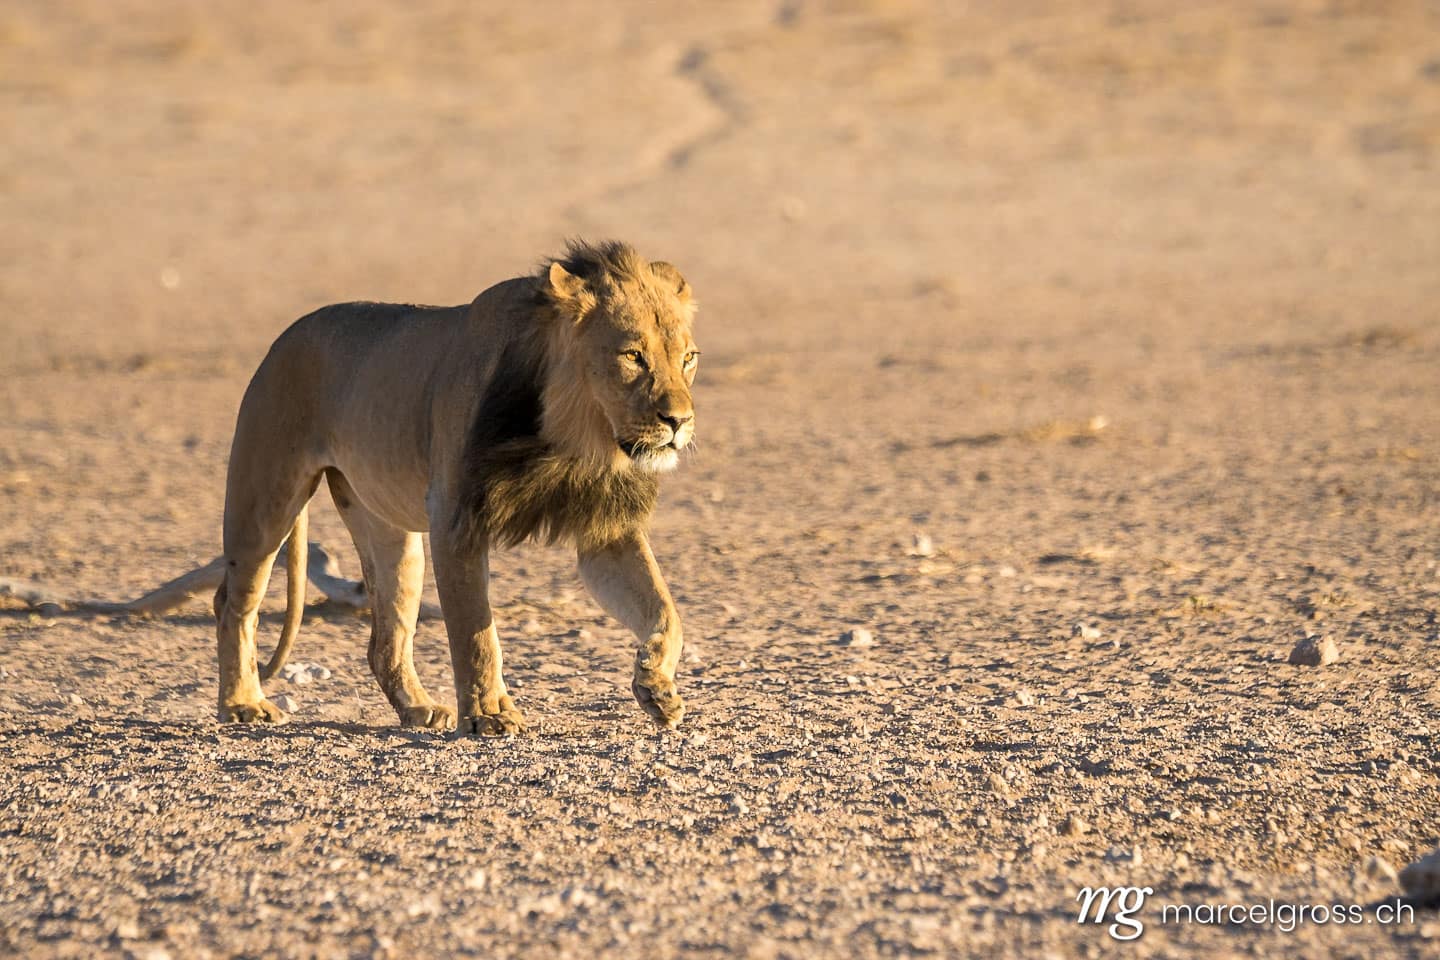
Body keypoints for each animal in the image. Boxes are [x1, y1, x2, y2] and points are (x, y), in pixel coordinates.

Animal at [214, 240, 699, 734]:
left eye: (688, 359)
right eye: (632, 356)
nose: (679, 421)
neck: (573, 436)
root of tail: (287, 334)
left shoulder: (607, 530)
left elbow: (665, 610)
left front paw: (656, 687)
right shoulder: (455, 519)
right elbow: (475, 632)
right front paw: (489, 714)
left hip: (390, 533)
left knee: (384, 638)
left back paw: (418, 708)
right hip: (264, 502)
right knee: (233, 603)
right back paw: (243, 703)